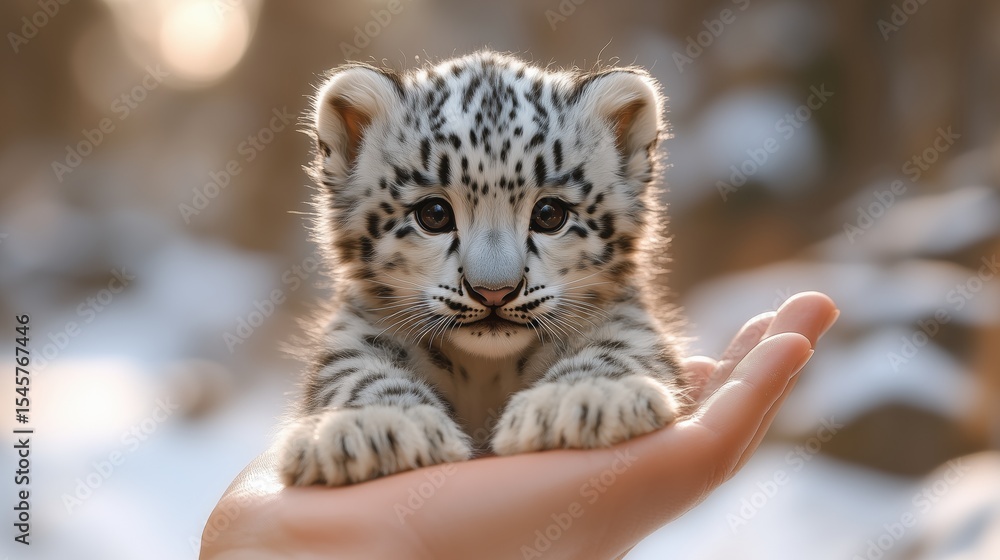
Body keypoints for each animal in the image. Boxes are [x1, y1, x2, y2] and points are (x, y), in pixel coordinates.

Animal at [278, 51, 687, 486]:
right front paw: (374, 426)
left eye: (549, 214)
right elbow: (355, 368)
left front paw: (583, 398)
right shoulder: (358, 327)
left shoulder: (623, 313)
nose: (494, 291)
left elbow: (618, 344)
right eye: (434, 214)